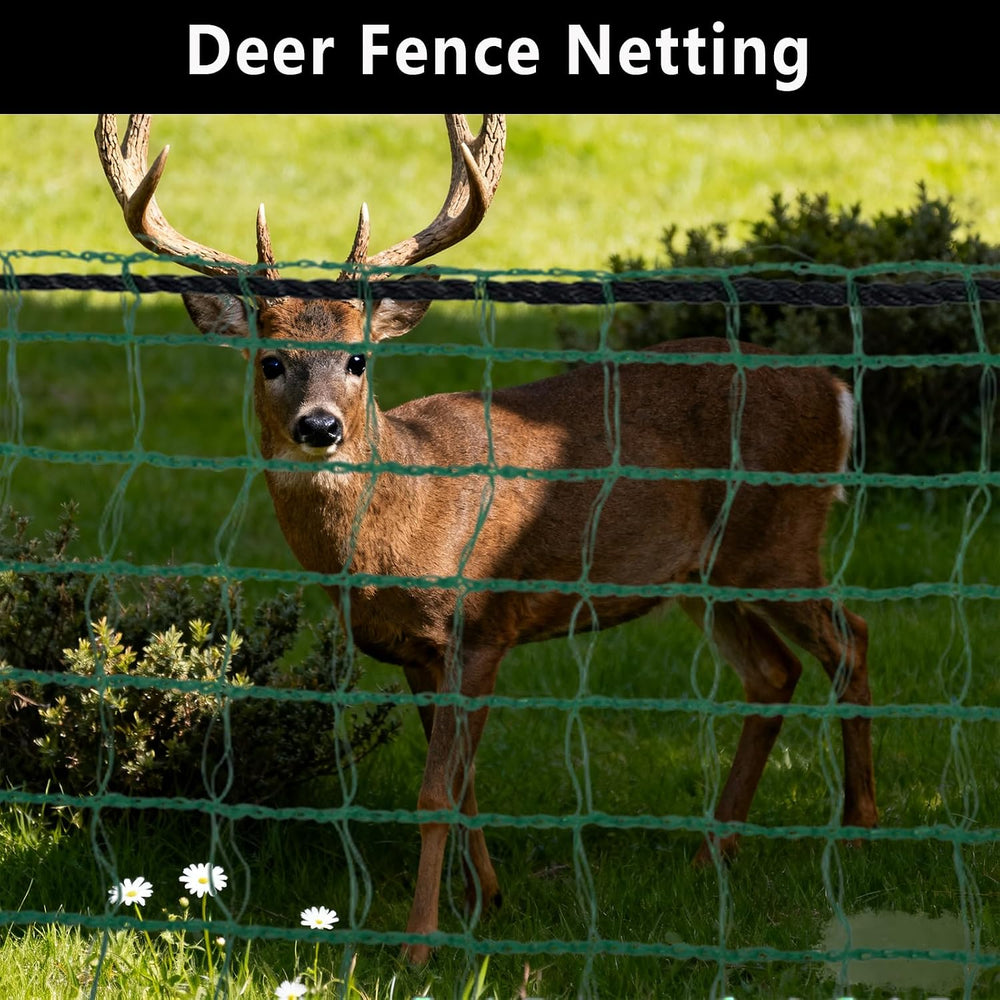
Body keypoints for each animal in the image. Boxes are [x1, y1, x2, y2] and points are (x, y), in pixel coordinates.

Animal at [95, 114, 877, 964]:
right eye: (271, 361)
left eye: (358, 358)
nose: (321, 427)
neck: (399, 524)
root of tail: (835, 390)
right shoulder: (413, 651)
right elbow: (464, 781)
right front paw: (486, 898)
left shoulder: (478, 629)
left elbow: (438, 789)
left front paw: (419, 946)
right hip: (703, 572)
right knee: (774, 672)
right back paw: (712, 852)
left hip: (779, 536)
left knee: (852, 640)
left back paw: (859, 833)